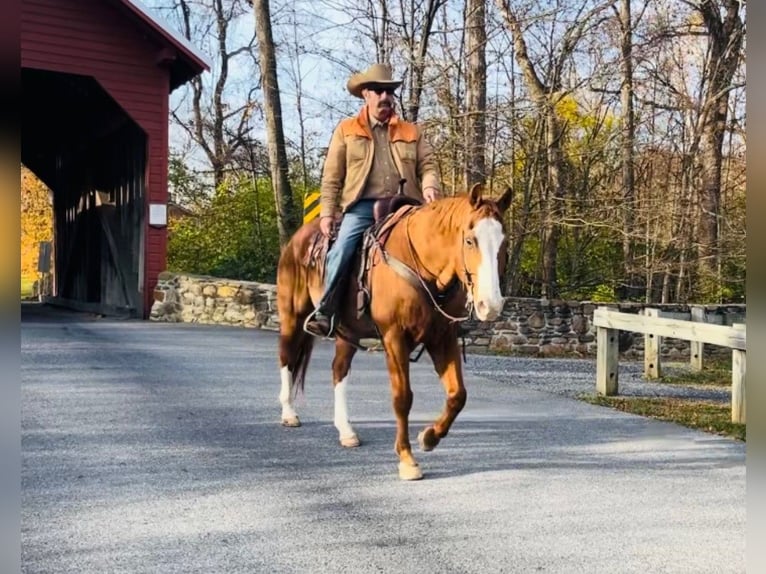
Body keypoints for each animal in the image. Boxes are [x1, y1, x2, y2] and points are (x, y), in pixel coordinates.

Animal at [276, 183, 514, 480]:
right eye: (470, 240)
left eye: (504, 242)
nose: (489, 305)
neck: (422, 267)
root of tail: (297, 240)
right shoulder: (395, 338)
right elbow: (403, 398)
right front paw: (407, 459)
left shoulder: (442, 339)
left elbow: (458, 395)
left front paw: (429, 437)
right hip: (292, 316)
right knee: (286, 357)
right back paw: (288, 413)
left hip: (347, 332)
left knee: (338, 370)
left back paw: (346, 431)